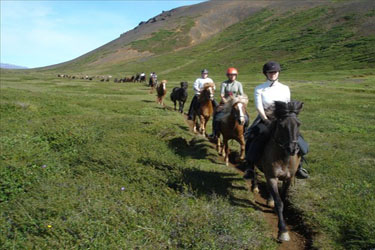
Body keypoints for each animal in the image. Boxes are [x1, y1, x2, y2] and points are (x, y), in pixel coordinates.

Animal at [250, 100, 306, 242]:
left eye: (299, 124)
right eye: (281, 125)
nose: (293, 149)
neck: (283, 157)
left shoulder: (287, 179)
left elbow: (283, 199)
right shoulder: (272, 177)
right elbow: (279, 203)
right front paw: (283, 231)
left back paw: (269, 199)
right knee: (253, 171)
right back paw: (255, 187)